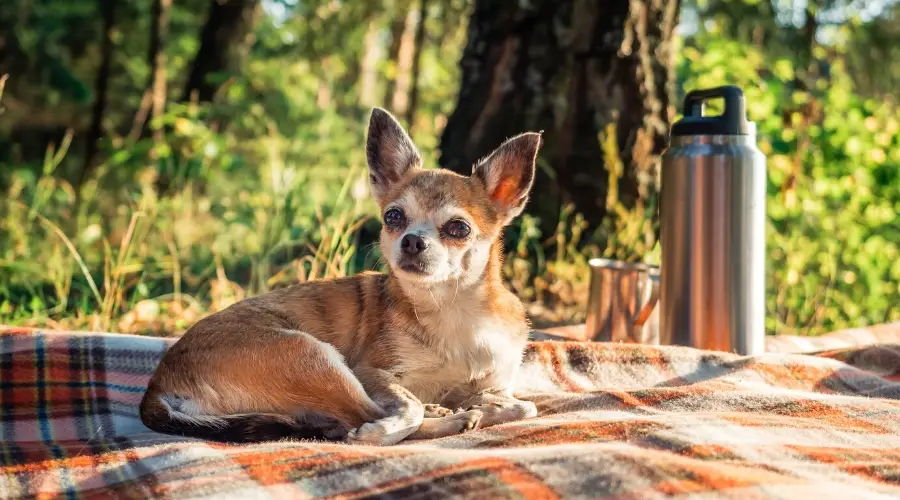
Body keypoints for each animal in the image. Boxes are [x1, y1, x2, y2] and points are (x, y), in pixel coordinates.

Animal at [142, 107, 540, 444]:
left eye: (459, 228)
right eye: (393, 217)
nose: (412, 241)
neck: (450, 307)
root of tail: (156, 386)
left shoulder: (497, 382)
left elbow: (522, 405)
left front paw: (476, 405)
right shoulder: (372, 371)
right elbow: (407, 405)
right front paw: (440, 414)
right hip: (314, 357)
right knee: (364, 416)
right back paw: (440, 420)